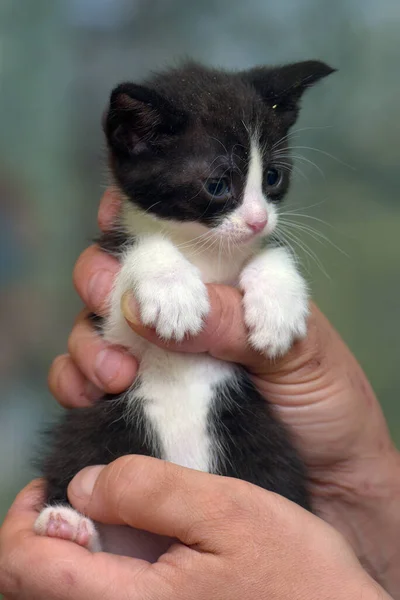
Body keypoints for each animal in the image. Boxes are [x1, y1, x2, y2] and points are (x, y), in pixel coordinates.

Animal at [33, 61, 334, 556]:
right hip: (98, 423)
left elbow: (271, 251)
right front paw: (173, 292)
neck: (204, 249)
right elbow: (139, 255)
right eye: (217, 185)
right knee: (77, 458)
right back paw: (66, 523)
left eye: (272, 177)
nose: (258, 219)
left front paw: (278, 306)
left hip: (258, 436)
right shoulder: (109, 322)